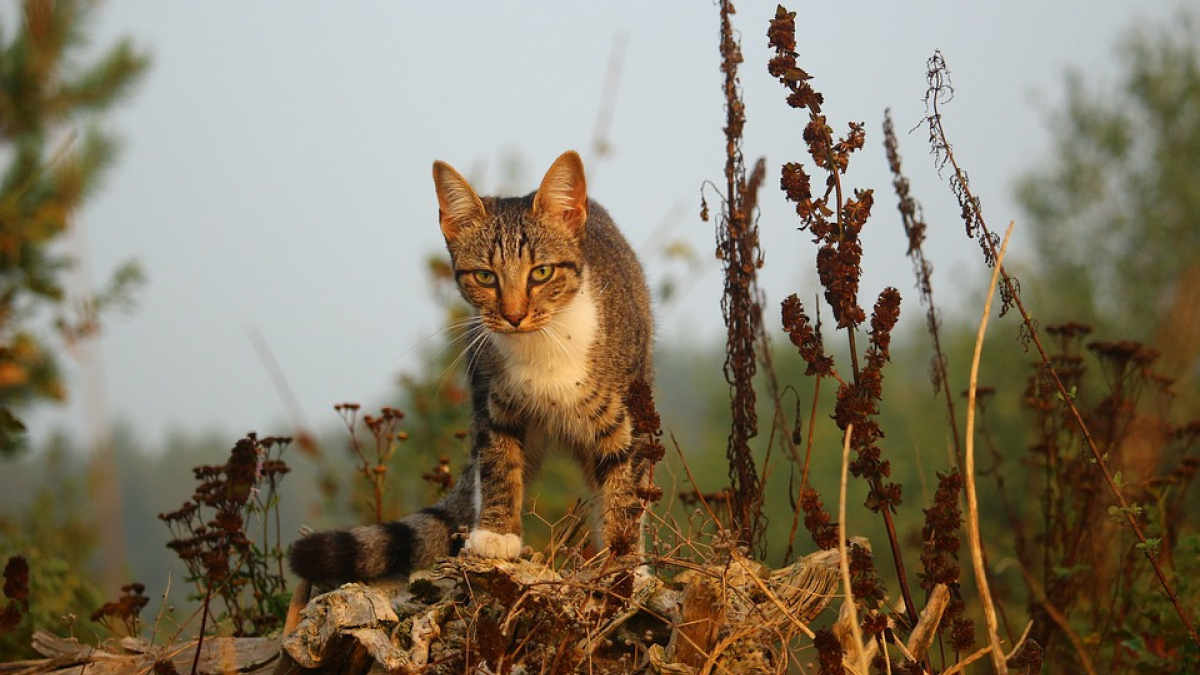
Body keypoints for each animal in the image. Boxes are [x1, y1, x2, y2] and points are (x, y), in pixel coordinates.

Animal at [290, 148, 657, 583]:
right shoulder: (492, 402)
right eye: (485, 276)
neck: (541, 346)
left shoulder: (625, 418)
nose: (514, 316)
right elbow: (499, 462)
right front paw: (496, 534)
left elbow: (623, 488)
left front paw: (624, 563)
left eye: (541, 272)